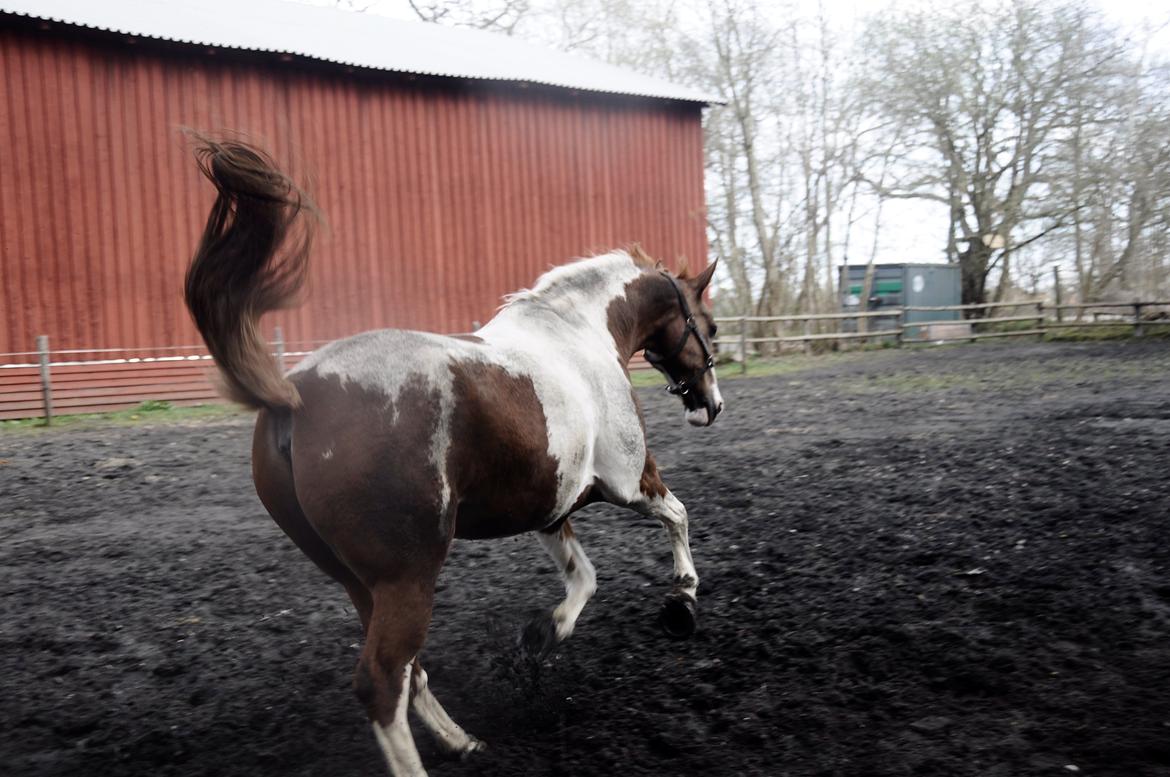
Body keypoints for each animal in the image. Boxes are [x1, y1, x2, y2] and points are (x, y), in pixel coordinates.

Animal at [182, 141, 720, 777]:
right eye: (710, 327)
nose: (710, 405)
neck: (580, 338)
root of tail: (294, 395)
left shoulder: (551, 508)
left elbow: (583, 578)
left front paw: (545, 632)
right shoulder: (629, 481)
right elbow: (678, 516)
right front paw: (683, 599)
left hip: (358, 582)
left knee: (409, 672)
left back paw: (462, 740)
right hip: (407, 577)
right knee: (383, 680)